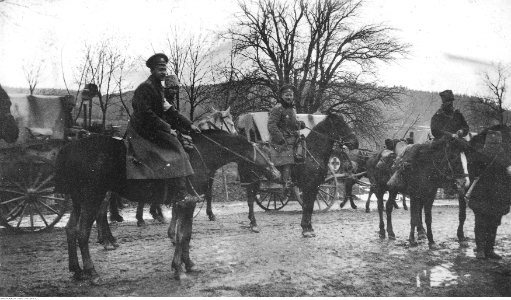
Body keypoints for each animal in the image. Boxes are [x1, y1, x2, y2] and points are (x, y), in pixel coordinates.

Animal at [55, 129, 280, 282]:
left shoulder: (186, 204)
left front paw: (187, 263)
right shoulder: (186, 203)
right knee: (83, 232)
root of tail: (69, 147)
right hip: (92, 198)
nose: (276, 173)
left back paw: (77, 270)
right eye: (262, 151)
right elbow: (182, 235)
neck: (200, 154)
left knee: (70, 229)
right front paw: (178, 268)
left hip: (79, 201)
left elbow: (186, 234)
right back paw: (92, 270)